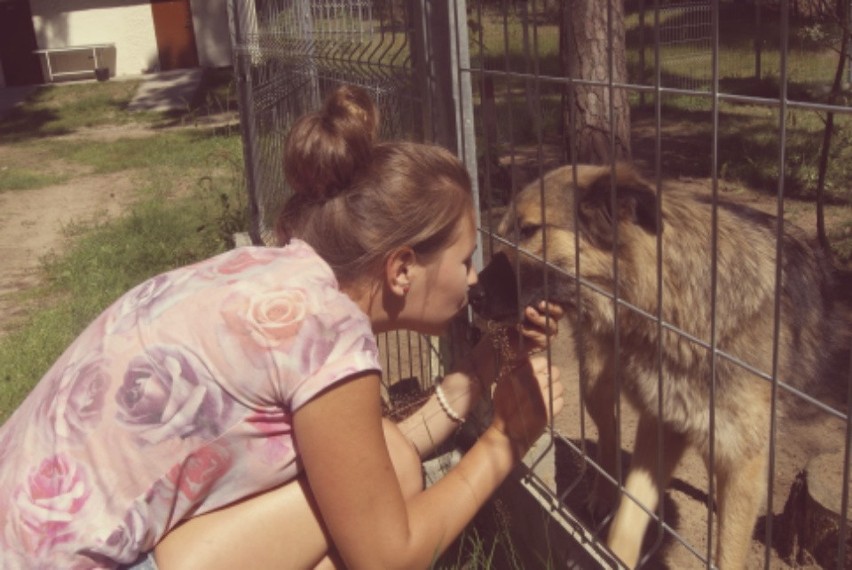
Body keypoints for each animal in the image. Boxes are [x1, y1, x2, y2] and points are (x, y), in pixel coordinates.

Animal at [470, 163, 844, 568]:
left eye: (528, 230)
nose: (471, 294)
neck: (674, 311)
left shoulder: (737, 455)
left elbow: (727, 546)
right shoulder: (662, 424)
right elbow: (626, 522)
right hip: (594, 386)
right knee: (610, 432)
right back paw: (602, 495)